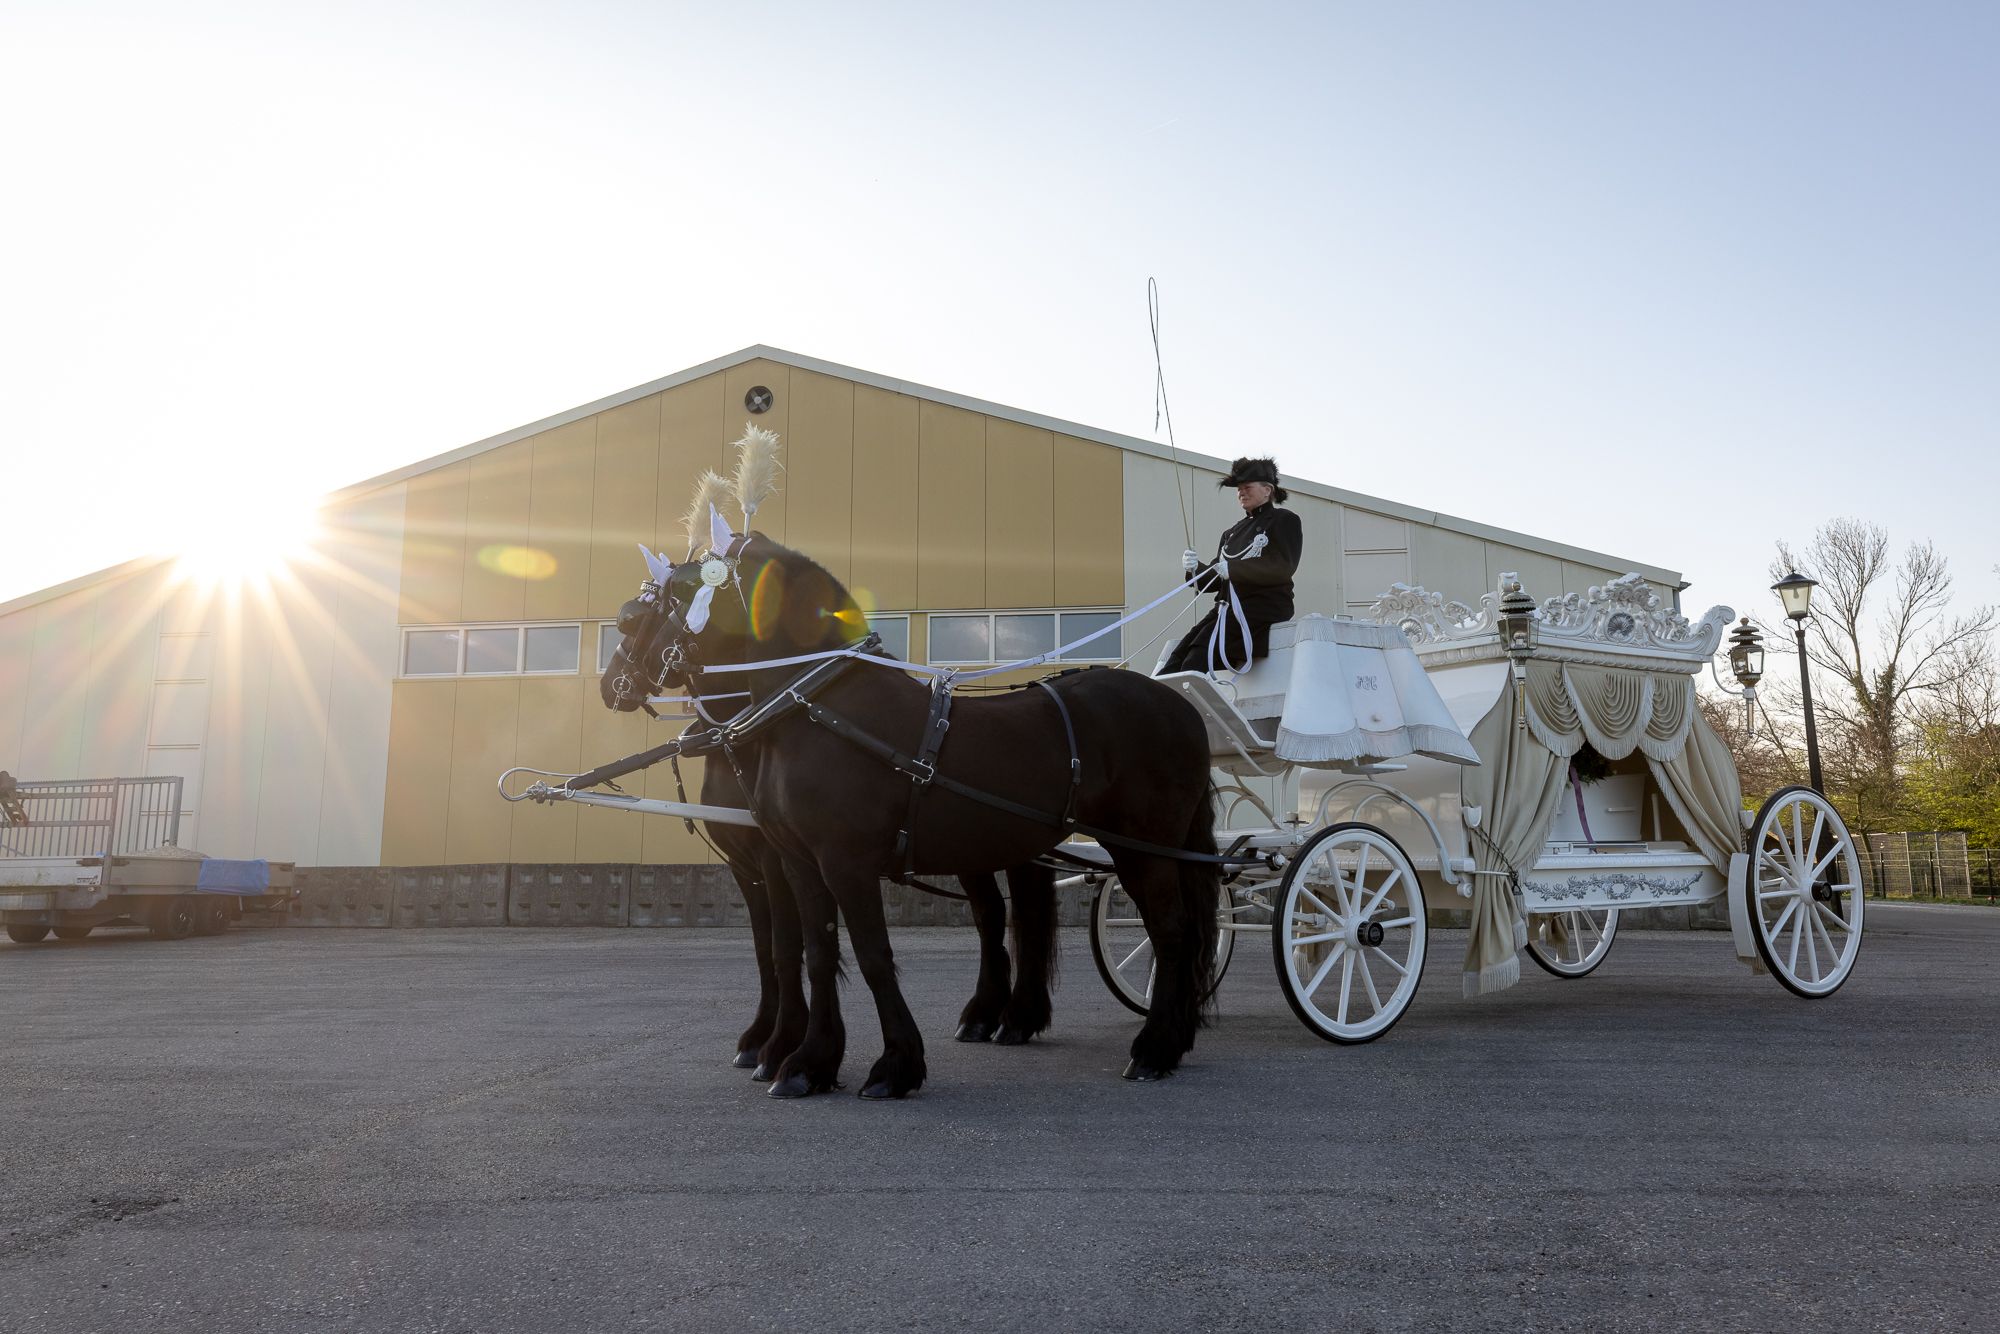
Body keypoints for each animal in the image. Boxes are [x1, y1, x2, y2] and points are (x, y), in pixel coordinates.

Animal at [603, 529, 1221, 1097]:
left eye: (675, 595)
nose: (615, 686)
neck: (815, 705)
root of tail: (1180, 706)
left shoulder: (843, 862)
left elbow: (871, 955)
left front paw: (894, 1064)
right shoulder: (798, 863)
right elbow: (814, 951)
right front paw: (806, 1063)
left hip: (1142, 848)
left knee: (1170, 932)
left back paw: (1154, 1047)